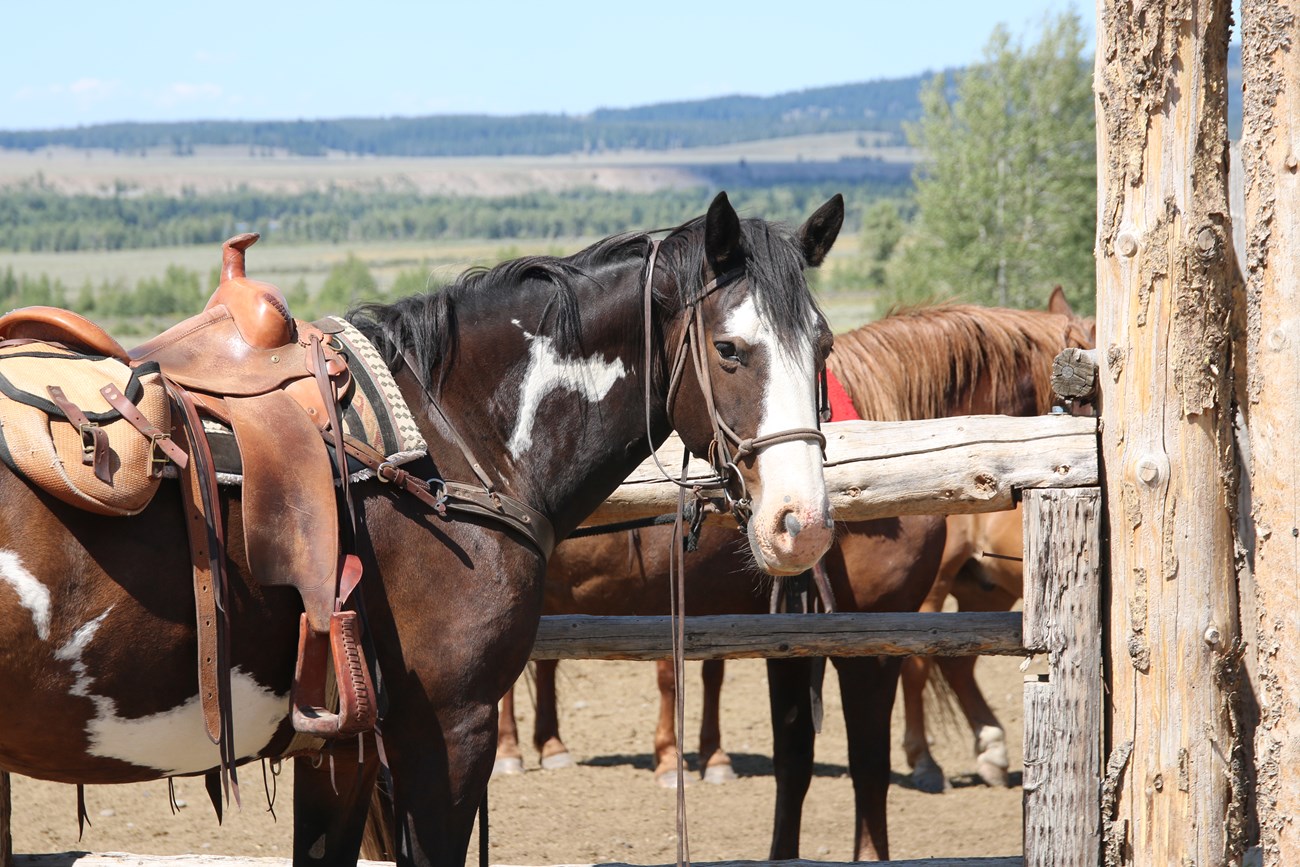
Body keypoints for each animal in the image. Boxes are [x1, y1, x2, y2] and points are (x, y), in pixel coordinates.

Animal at [0, 191, 842, 867]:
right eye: (730, 349)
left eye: (825, 346)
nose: (800, 525)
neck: (458, 441)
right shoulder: (448, 729)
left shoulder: (338, 748)